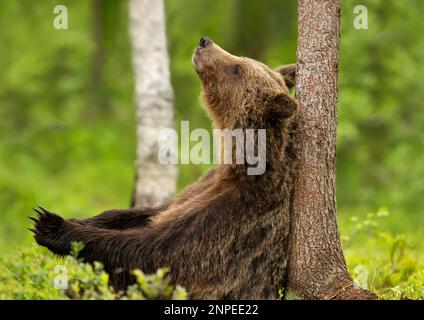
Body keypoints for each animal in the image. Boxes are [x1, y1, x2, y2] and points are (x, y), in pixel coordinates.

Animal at [31, 37, 298, 300]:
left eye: (237, 68)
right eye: (241, 60)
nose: (204, 42)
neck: (235, 164)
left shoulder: (228, 222)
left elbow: (149, 251)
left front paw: (52, 225)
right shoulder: (201, 187)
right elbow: (150, 212)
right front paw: (83, 219)